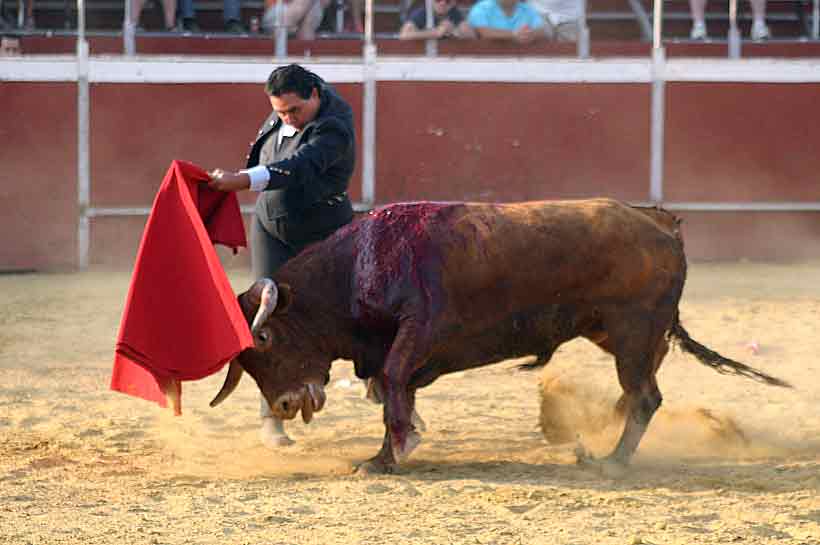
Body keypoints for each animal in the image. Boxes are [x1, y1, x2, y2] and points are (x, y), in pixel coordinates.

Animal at [208, 197, 784, 472]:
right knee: (637, 395)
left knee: (644, 397)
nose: (283, 406)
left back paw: (610, 461)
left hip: (634, 332)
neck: (355, 267)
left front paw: (386, 457)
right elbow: (394, 390)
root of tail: (662, 223)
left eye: (265, 340)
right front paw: (396, 445)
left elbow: (392, 382)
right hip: (623, 336)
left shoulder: (419, 329)